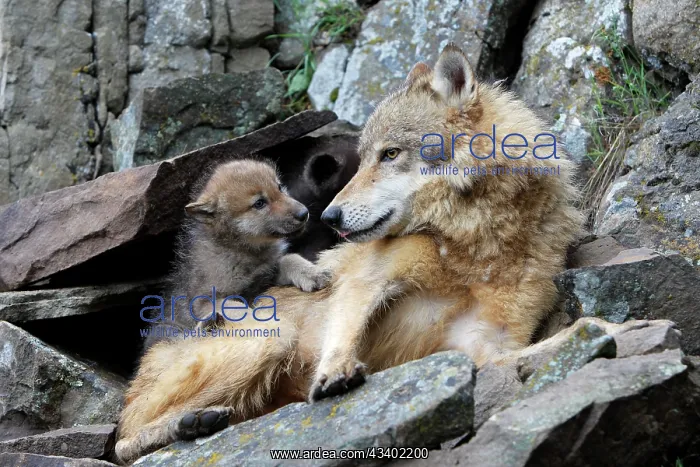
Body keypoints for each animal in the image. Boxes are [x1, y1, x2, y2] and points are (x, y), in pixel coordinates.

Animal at [114, 43, 581, 464]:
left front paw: (590, 332)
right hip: (270, 339)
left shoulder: (485, 345)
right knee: (122, 441)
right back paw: (189, 424)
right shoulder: (368, 280)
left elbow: (551, 344)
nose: (328, 216)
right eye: (362, 158)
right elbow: (346, 327)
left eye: (390, 154)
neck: (472, 244)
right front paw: (335, 373)